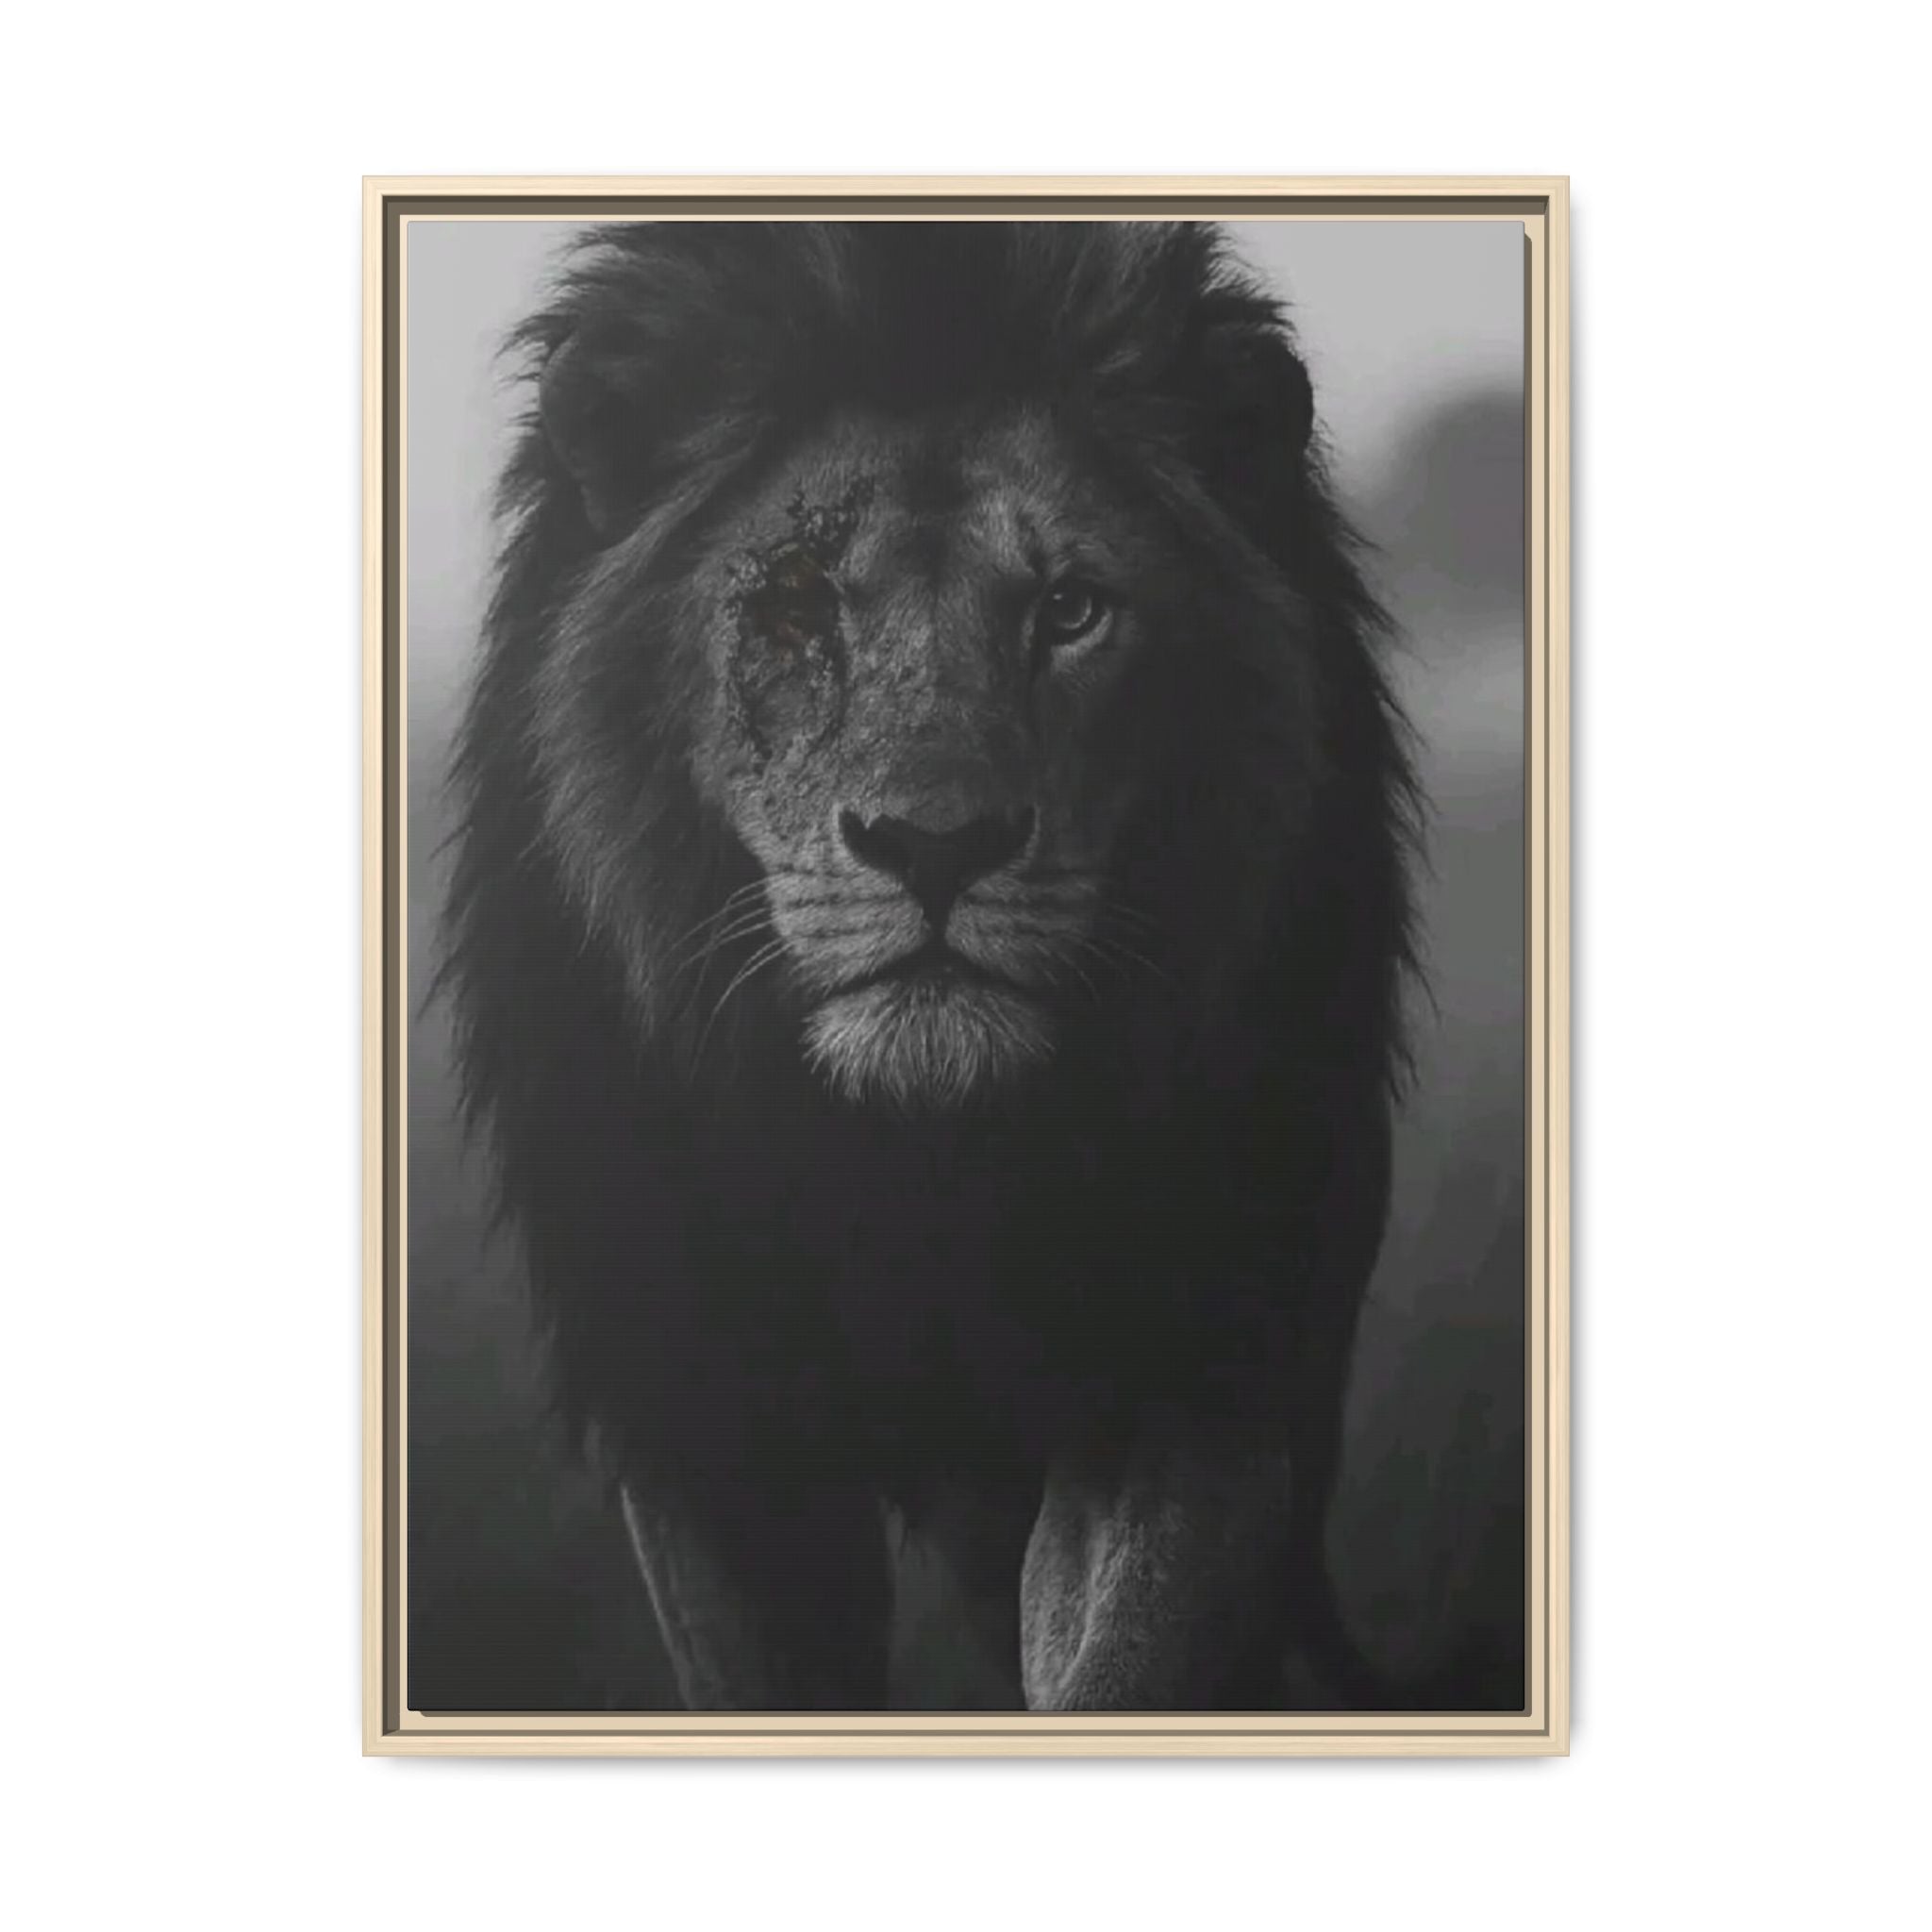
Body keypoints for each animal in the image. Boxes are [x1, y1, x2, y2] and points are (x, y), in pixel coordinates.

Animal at [442, 221, 1420, 1710]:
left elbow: (1126, 1663)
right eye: (797, 607)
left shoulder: (1195, 1367)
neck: (919, 1168)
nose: (936, 844)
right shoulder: (702, 1420)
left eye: (1069, 610)